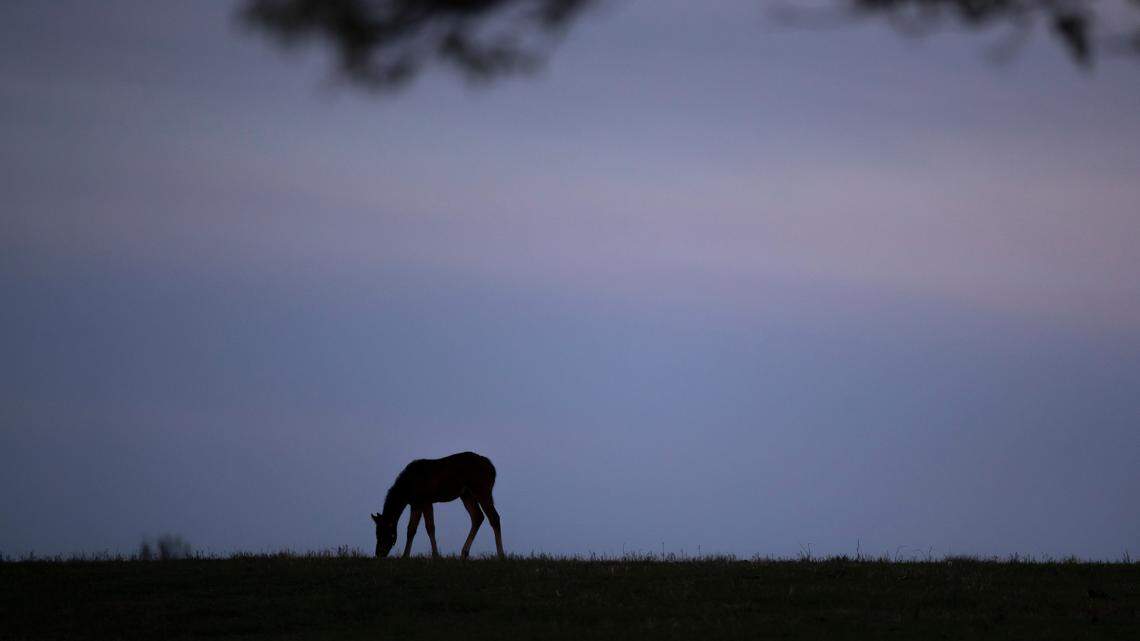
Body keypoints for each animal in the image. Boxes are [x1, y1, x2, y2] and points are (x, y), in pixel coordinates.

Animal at [371, 451, 504, 559]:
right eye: (376, 533)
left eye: (383, 533)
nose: (379, 553)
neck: (407, 489)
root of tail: (493, 469)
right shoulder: (416, 504)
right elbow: (414, 528)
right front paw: (406, 555)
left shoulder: (425, 501)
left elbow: (427, 527)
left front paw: (434, 555)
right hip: (466, 495)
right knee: (477, 517)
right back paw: (464, 553)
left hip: (482, 490)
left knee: (494, 517)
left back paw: (501, 554)